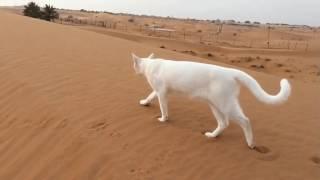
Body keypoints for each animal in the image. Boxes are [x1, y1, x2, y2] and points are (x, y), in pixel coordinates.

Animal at [131, 52, 292, 148]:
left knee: (245, 120)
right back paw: (212, 135)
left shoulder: (162, 92)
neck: (150, 65)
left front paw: (163, 119)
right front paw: (144, 103)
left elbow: (163, 108)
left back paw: (250, 143)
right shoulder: (158, 91)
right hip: (215, 105)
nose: (134, 71)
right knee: (224, 123)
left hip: (225, 105)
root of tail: (231, 71)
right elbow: (150, 96)